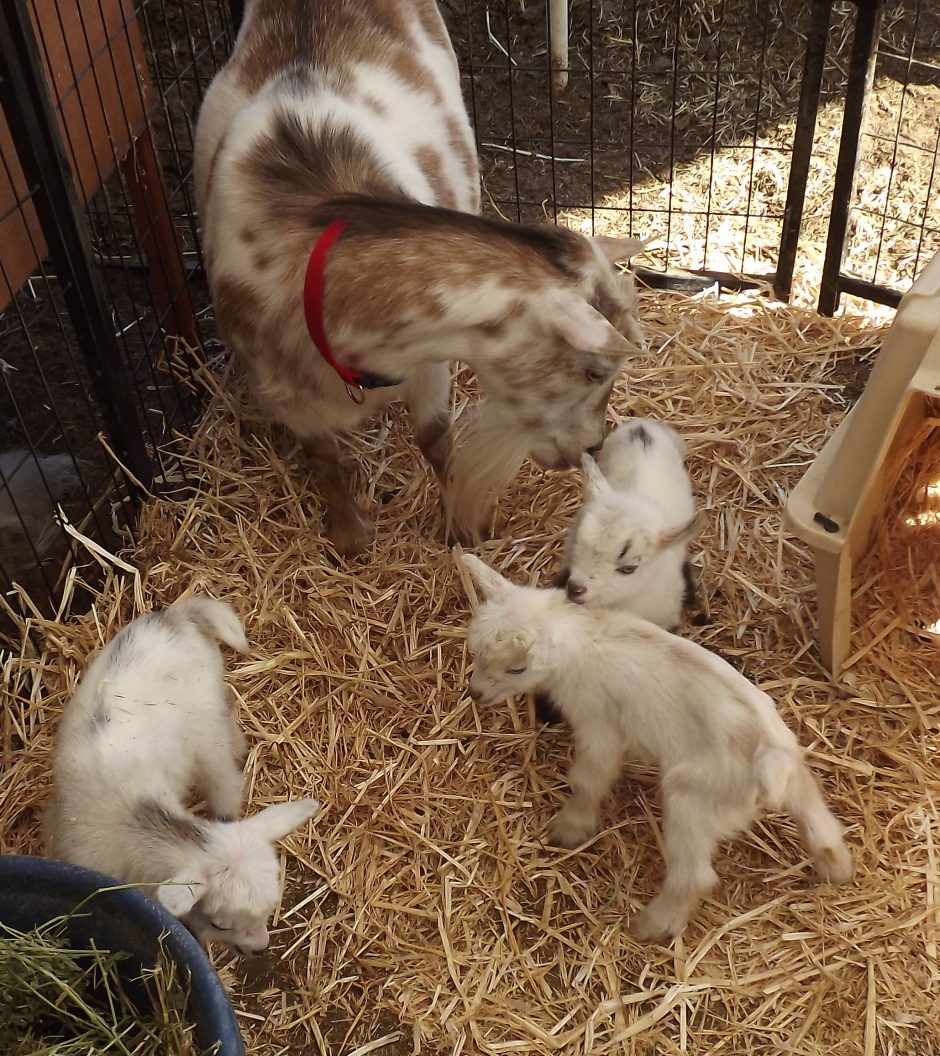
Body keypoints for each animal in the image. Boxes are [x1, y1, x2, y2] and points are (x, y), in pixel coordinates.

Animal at [194, 0, 646, 557]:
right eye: (593, 372)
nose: (594, 446)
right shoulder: (282, 390)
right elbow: (323, 456)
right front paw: (350, 536)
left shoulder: (431, 361)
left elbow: (434, 435)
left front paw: (461, 525)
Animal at [458, 554, 854, 942]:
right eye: (475, 651)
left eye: (517, 668)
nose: (476, 693)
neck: (587, 640)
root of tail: (769, 759)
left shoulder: (598, 725)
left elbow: (589, 778)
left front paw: (570, 828)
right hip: (796, 778)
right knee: (823, 828)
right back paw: (836, 870)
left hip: (692, 800)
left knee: (693, 875)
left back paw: (652, 926)